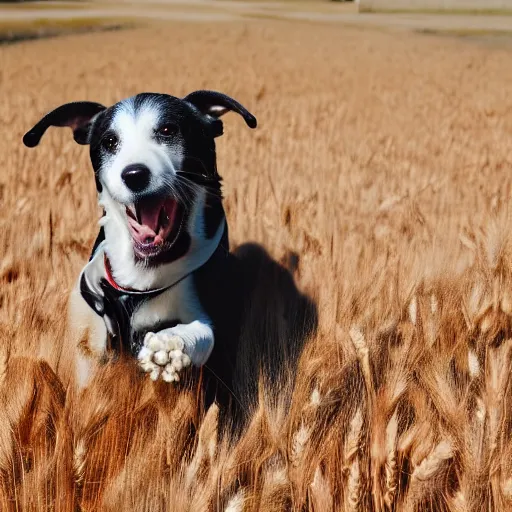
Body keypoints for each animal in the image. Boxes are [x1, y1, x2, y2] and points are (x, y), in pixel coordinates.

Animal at [23, 90, 256, 404]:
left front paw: (170, 346)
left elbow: (202, 332)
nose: (134, 174)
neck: (142, 275)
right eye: (110, 141)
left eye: (168, 130)